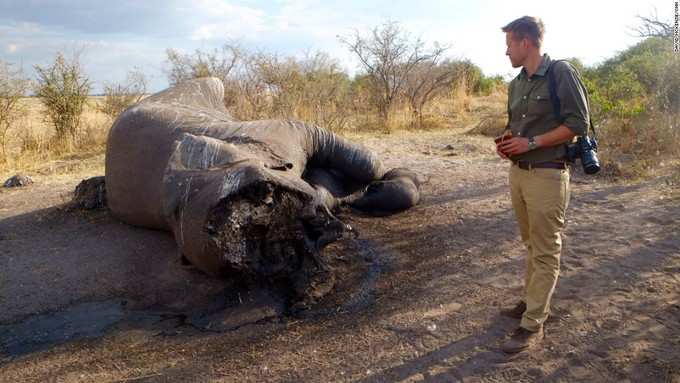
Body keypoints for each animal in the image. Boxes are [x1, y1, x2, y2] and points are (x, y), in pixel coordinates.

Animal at [103, 77, 420, 306]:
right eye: (173, 212)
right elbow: (331, 185)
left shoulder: (287, 130)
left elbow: (367, 162)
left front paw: (374, 189)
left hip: (205, 86)